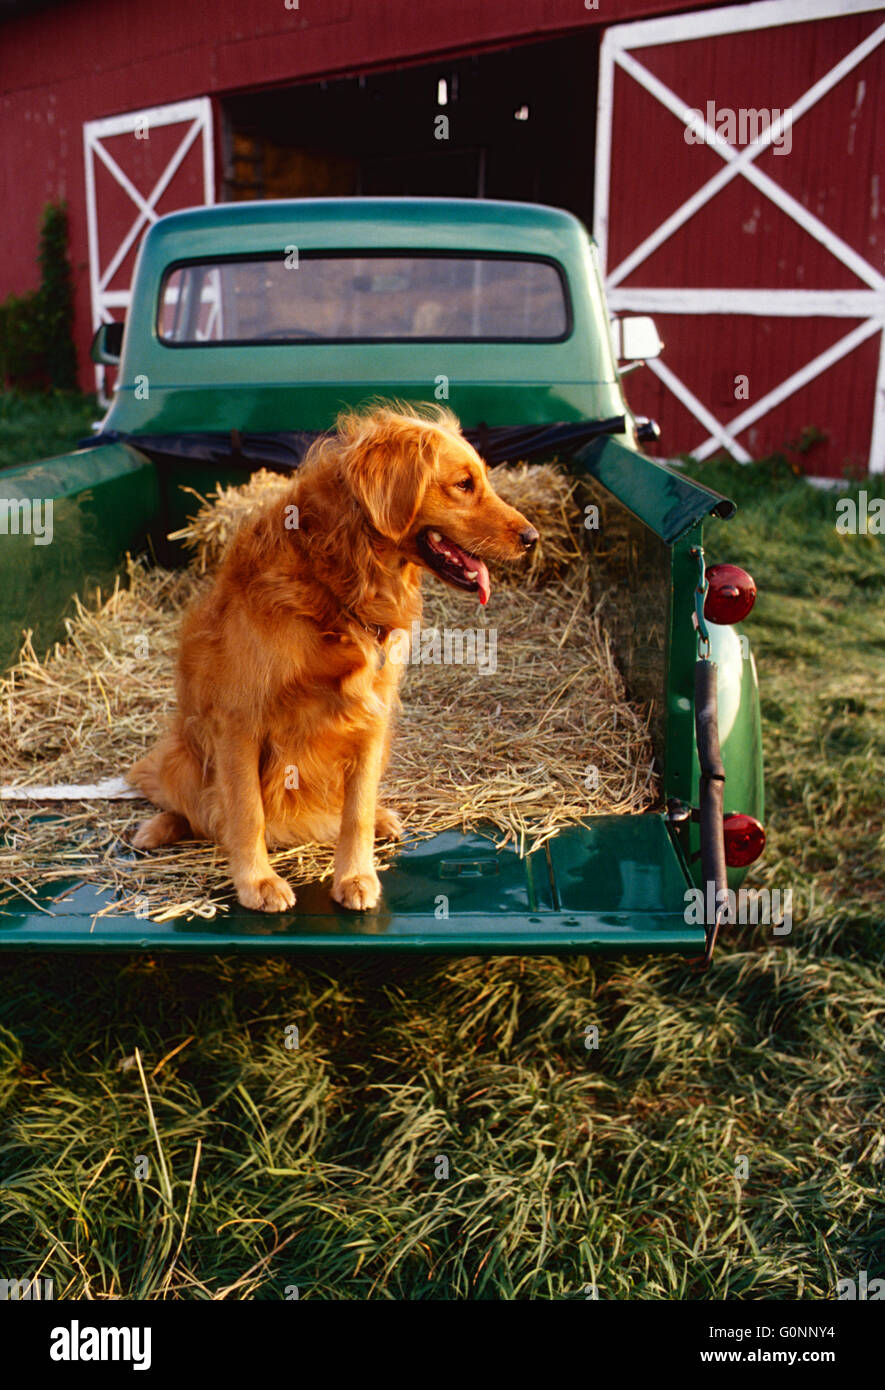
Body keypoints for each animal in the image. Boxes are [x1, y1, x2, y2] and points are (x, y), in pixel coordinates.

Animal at [127, 405, 536, 911]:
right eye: (463, 484)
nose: (533, 537)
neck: (339, 584)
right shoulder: (238, 721)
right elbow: (245, 811)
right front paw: (257, 882)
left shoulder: (371, 715)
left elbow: (354, 810)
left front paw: (356, 874)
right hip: (183, 757)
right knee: (192, 808)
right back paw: (157, 828)